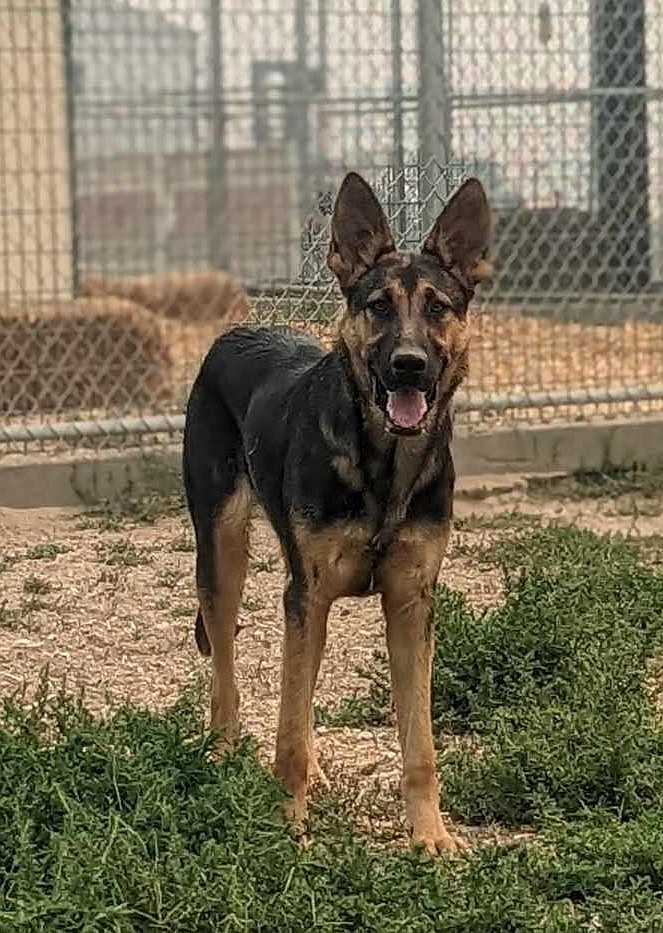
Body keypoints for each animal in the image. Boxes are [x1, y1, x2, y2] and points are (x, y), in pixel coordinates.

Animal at [184, 169, 490, 852]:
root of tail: (239, 329)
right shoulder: (308, 594)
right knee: (226, 663)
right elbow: (289, 728)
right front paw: (288, 828)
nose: (409, 365)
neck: (384, 464)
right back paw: (223, 748)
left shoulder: (410, 605)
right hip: (223, 557)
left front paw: (430, 835)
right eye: (378, 306)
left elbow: (419, 744)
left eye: (438, 306)